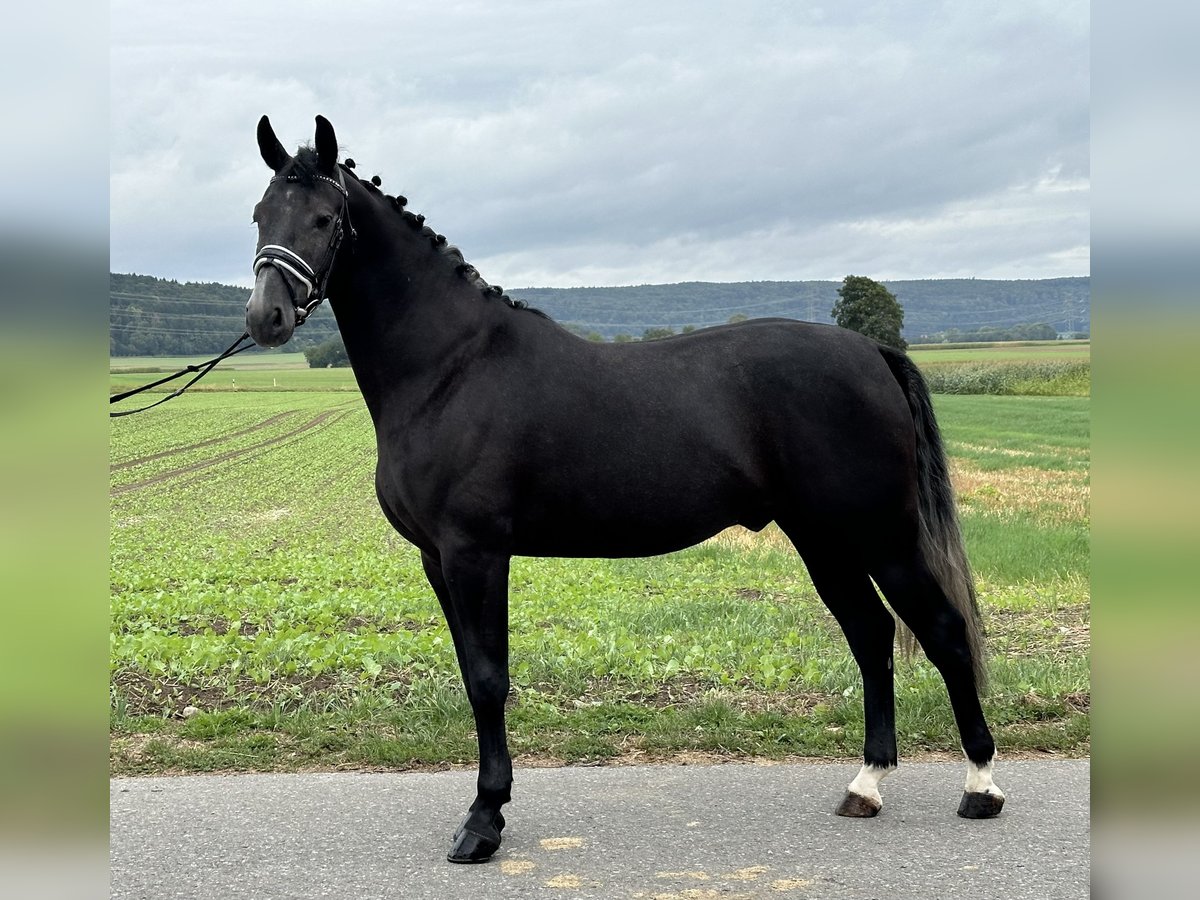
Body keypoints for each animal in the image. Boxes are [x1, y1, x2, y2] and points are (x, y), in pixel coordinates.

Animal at [243, 116, 1003, 864]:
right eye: (259, 214)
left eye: (323, 217)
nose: (264, 318)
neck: (451, 367)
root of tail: (870, 351)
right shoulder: (438, 560)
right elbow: (470, 675)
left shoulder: (475, 554)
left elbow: (489, 680)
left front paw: (484, 820)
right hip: (824, 541)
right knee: (872, 635)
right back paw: (866, 786)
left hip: (882, 536)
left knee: (941, 632)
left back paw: (980, 786)